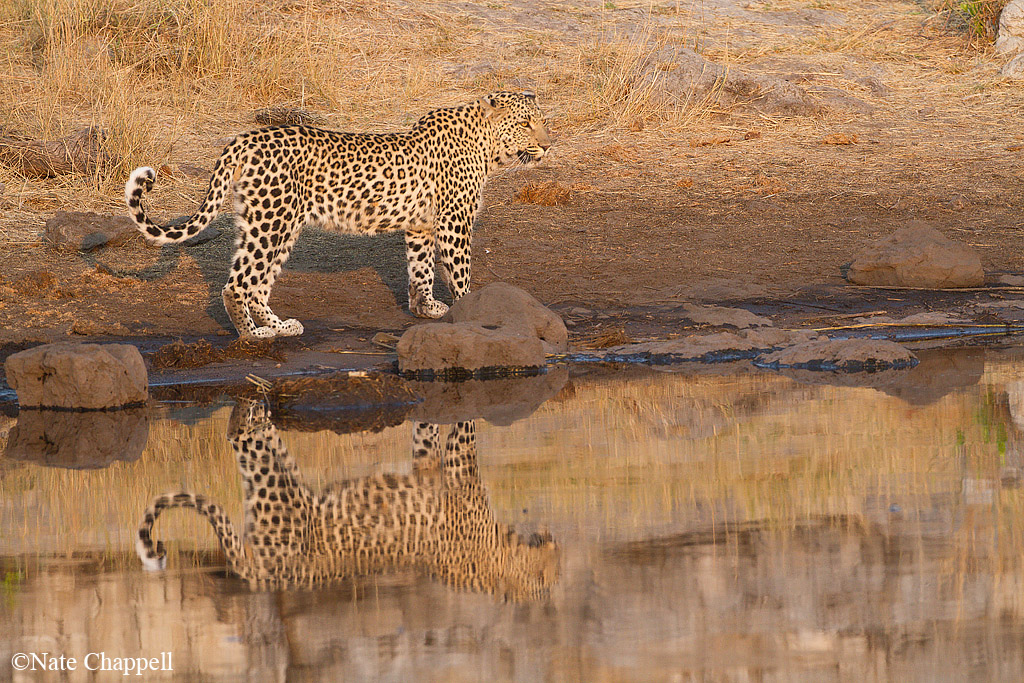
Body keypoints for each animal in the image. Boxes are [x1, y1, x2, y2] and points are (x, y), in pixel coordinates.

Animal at [124, 92, 551, 339]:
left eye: (542, 121)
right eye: (525, 123)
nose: (548, 145)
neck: (487, 146)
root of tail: (246, 138)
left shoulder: (421, 226)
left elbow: (421, 269)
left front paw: (425, 308)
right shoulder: (453, 222)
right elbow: (459, 272)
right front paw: (471, 311)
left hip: (266, 221)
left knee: (255, 282)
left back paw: (281, 327)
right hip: (274, 221)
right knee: (239, 284)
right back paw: (253, 336)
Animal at [135, 401, 559, 601]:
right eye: (543, 578)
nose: (556, 546)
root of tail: (266, 576)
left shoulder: (429, 465)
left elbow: (426, 434)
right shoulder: (460, 468)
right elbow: (465, 429)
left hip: (278, 483)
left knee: (253, 444)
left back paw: (258, 409)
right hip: (279, 497)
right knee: (238, 437)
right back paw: (250, 409)